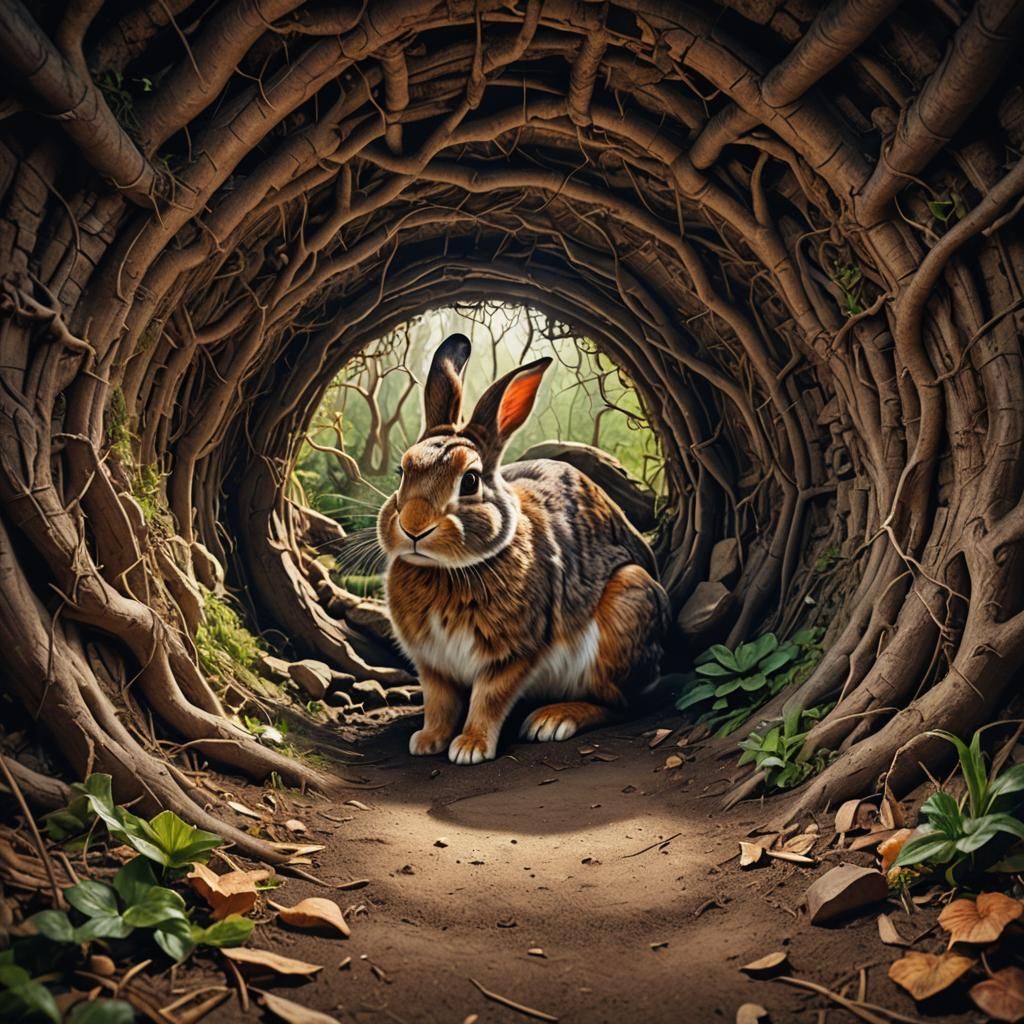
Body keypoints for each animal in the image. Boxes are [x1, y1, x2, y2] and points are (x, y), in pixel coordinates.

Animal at [377, 333, 670, 764]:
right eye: (403, 470)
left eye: (470, 481)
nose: (413, 527)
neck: (447, 569)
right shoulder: (433, 663)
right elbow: (438, 702)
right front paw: (427, 741)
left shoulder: (512, 653)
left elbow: (489, 699)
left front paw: (470, 747)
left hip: (624, 613)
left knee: (621, 705)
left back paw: (553, 720)